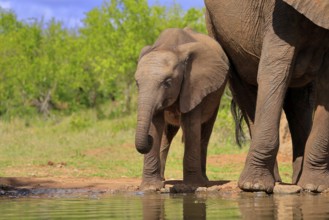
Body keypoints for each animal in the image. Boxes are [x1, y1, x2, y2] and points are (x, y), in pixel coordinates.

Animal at [134, 27, 231, 189]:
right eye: (137, 83)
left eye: (168, 82)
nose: (148, 139)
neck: (169, 47)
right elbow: (155, 124)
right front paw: (151, 187)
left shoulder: (194, 85)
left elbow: (190, 125)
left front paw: (190, 187)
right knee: (167, 135)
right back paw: (162, 179)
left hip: (216, 97)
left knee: (204, 133)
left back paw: (204, 181)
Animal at [205, 0, 328, 192]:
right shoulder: (279, 16)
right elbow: (274, 72)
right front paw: (255, 187)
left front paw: (316, 187)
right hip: (216, 29)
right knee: (245, 91)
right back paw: (268, 182)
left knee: (300, 102)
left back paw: (298, 181)